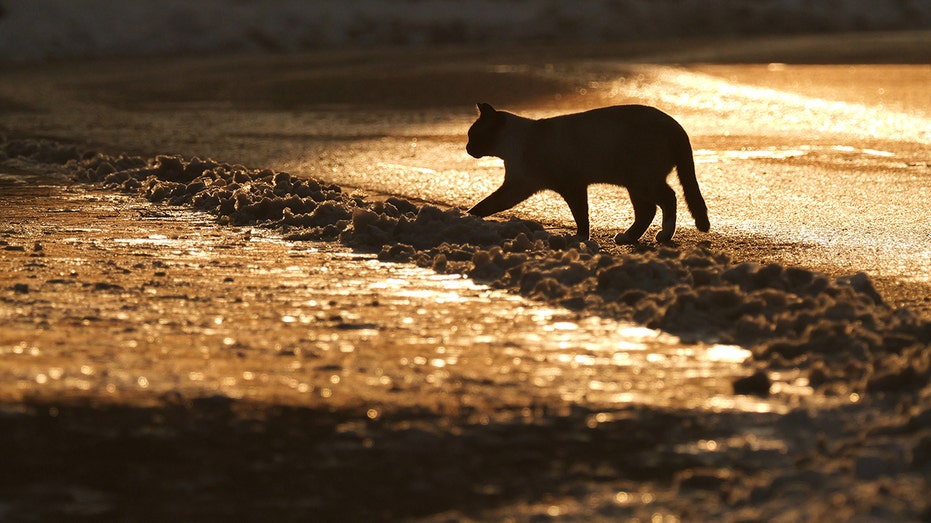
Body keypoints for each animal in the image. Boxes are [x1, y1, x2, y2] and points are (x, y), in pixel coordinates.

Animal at [470, 103, 708, 245]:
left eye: (473, 136)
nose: (467, 148)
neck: (511, 147)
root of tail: (675, 125)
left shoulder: (572, 186)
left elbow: (581, 216)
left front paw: (580, 238)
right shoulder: (517, 187)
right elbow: (486, 205)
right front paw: (469, 218)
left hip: (642, 181)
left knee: (669, 198)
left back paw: (663, 235)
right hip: (635, 184)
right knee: (648, 210)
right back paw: (627, 238)